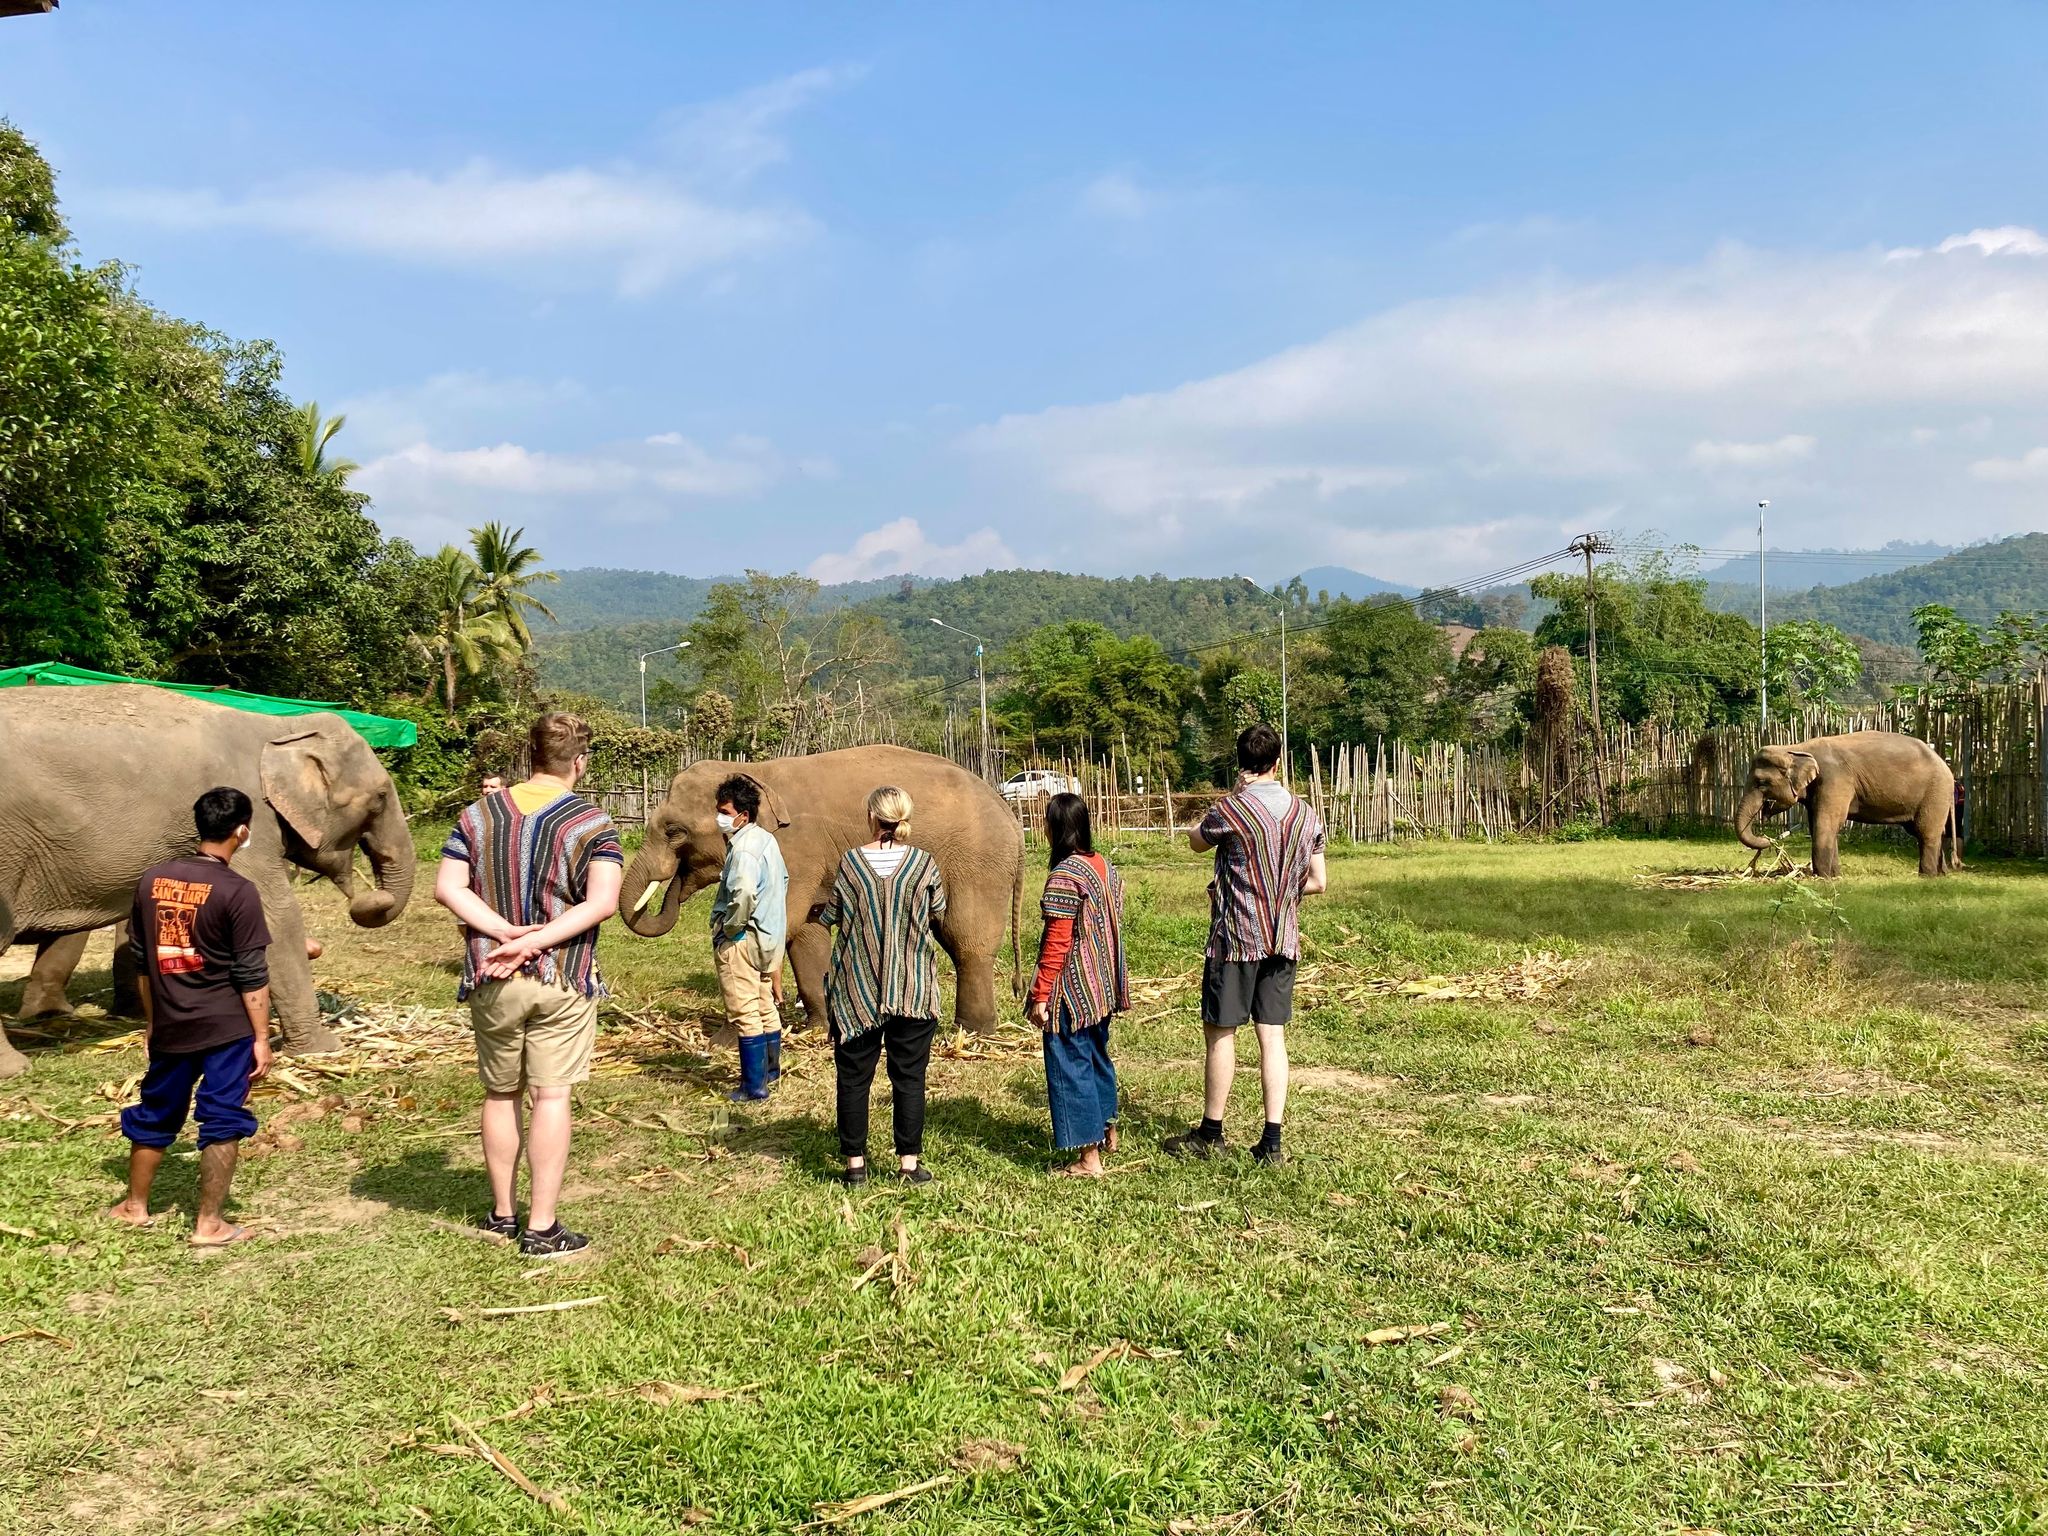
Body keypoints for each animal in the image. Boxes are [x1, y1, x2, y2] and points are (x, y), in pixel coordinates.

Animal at [0, 692, 415, 1073]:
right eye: (380, 798)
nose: (367, 898)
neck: (281, 726)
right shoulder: (247, 818)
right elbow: (274, 916)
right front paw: (322, 1049)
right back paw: (17, 1066)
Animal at [610, 745, 1019, 1036]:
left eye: (674, 832)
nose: (675, 885)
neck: (758, 773)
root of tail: (1008, 809)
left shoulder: (794, 851)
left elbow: (778, 923)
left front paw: (726, 1041)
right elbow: (805, 934)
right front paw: (817, 1030)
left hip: (978, 864)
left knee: (967, 939)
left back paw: (972, 1033)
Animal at [1736, 733, 1957, 876]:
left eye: (1761, 783)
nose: (1768, 837)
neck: (1797, 748)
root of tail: (1947, 766)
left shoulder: (1835, 779)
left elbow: (1826, 822)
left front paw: (1821, 877)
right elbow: (1821, 824)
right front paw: (1834, 875)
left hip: (1936, 793)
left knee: (1926, 832)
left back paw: (1926, 876)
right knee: (1932, 833)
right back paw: (1942, 874)